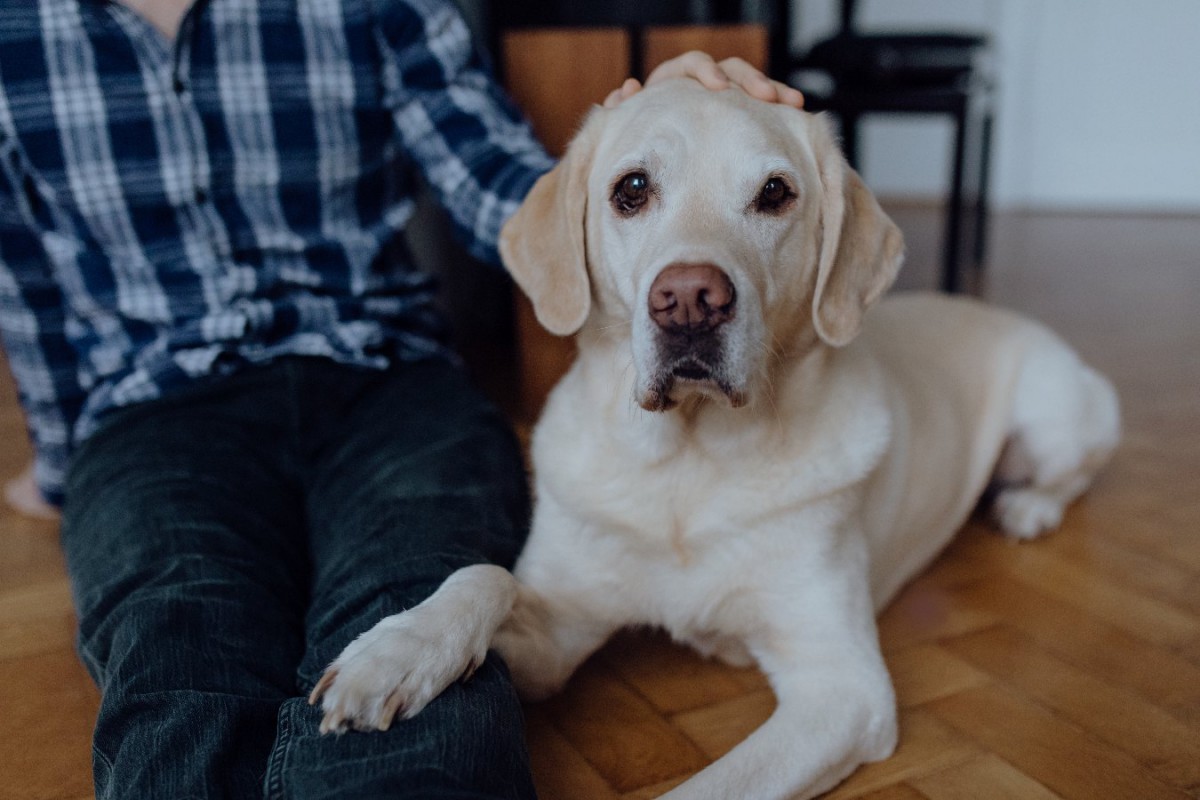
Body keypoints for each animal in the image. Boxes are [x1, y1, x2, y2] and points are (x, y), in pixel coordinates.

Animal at [307, 79, 1113, 796]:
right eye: (632, 188)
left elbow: (716, 787)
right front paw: (398, 650)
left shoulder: (842, 690)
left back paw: (1028, 507)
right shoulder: (555, 639)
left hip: (1055, 416)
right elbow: (487, 576)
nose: (690, 300)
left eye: (775, 193)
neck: (687, 466)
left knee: (1073, 471)